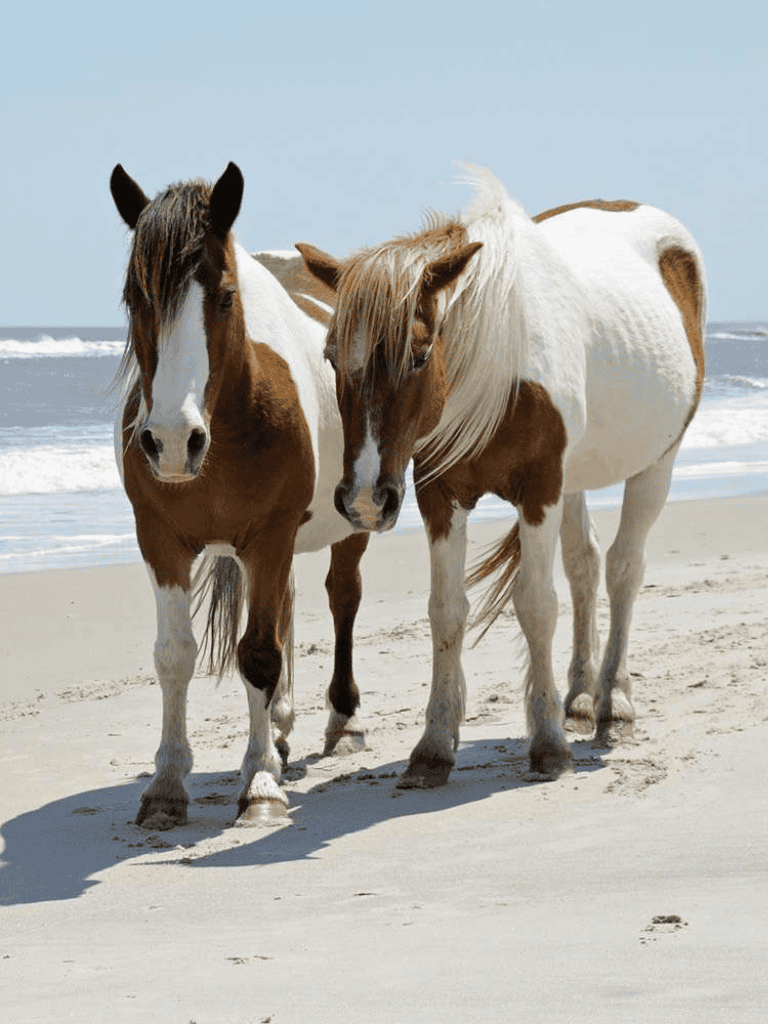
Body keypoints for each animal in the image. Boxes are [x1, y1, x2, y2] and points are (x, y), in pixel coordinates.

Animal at [110, 161, 369, 825]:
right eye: (134, 298)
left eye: (226, 296)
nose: (173, 442)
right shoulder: (161, 540)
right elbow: (176, 654)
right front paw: (166, 785)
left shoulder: (271, 535)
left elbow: (258, 655)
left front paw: (260, 784)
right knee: (283, 610)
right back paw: (278, 725)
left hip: (349, 523)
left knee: (341, 599)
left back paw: (343, 721)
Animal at [297, 166, 706, 787]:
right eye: (330, 356)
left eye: (419, 354)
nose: (365, 499)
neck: (496, 367)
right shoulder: (439, 496)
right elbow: (446, 610)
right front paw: (433, 746)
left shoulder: (539, 490)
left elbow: (535, 603)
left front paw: (548, 745)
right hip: (575, 479)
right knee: (585, 566)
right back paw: (580, 696)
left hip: (658, 462)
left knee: (623, 570)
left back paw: (613, 702)